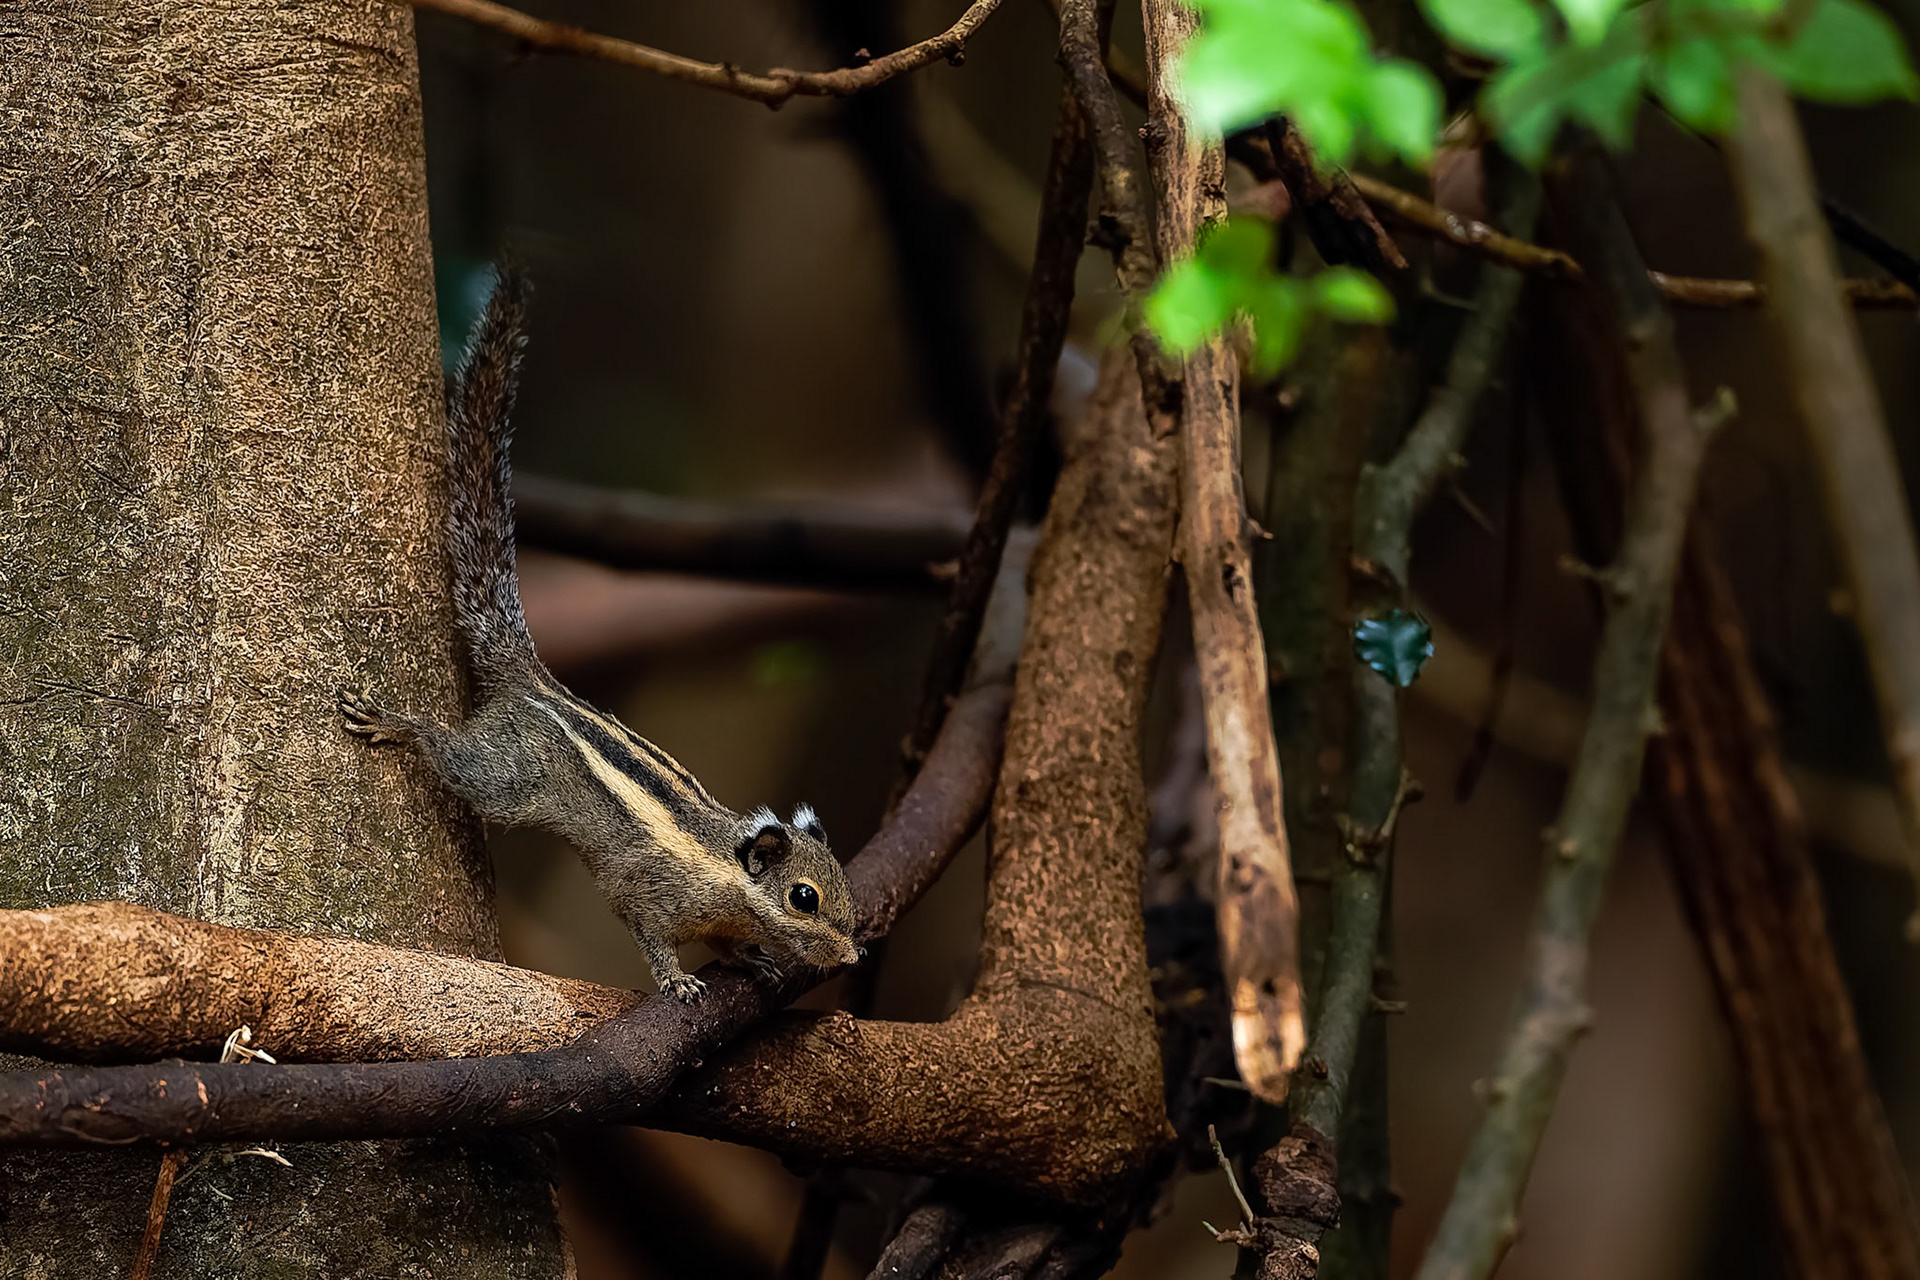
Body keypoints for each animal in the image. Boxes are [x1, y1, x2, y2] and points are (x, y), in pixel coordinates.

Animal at [338, 267, 860, 1002]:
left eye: (842, 890)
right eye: (804, 898)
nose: (853, 957)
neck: (724, 869)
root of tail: (534, 683)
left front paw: (746, 958)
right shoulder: (650, 893)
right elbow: (649, 935)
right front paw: (678, 979)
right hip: (511, 777)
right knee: (455, 757)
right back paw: (401, 725)